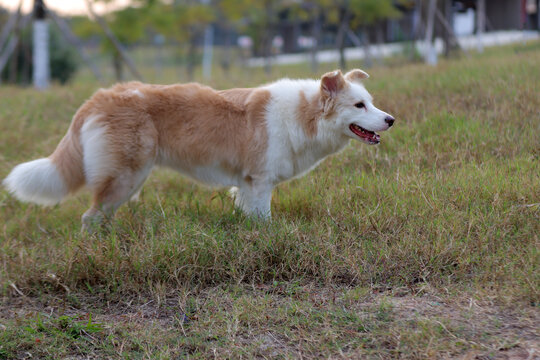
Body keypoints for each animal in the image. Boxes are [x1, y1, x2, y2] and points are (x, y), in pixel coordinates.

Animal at [3, 69, 392, 229]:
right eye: (359, 105)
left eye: (371, 102)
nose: (390, 120)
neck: (303, 114)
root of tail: (100, 97)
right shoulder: (259, 182)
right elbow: (264, 220)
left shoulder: (246, 185)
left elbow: (247, 215)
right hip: (125, 177)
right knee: (90, 217)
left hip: (126, 181)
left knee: (99, 215)